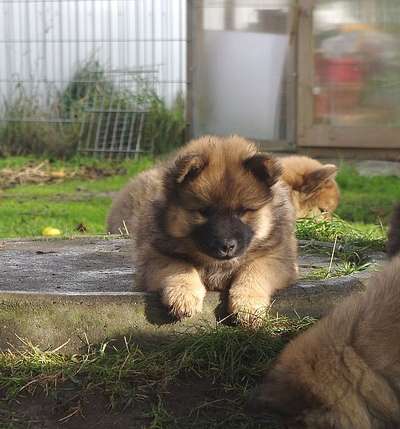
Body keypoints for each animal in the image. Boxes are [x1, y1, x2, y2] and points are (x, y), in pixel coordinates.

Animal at [106, 135, 296, 322]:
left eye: (242, 211)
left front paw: (248, 307)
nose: (227, 246)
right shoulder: (155, 255)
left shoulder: (277, 257)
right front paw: (183, 297)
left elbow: (254, 271)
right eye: (204, 211)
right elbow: (179, 266)